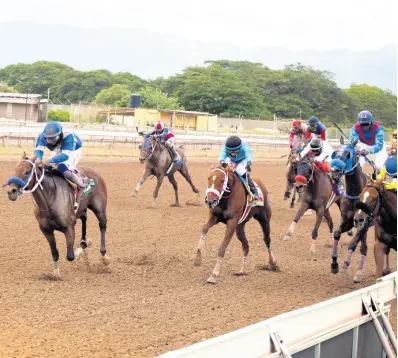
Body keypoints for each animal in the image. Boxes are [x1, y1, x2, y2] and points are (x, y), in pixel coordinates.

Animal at [328, 139, 372, 282]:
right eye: (335, 152)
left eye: (348, 154)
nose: (335, 171)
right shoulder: (347, 220)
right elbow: (337, 234)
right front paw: (334, 265)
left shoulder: (364, 224)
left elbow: (353, 244)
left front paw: (345, 265)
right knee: (364, 246)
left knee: (363, 246)